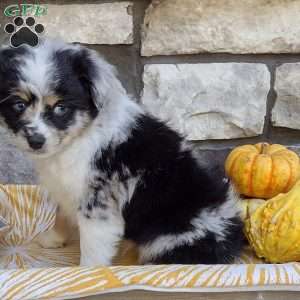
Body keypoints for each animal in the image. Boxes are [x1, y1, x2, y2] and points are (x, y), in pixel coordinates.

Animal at [0, 39, 244, 264]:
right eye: (19, 105)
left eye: (61, 107)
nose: (35, 141)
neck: (78, 139)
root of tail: (235, 236)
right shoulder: (67, 188)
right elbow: (60, 215)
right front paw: (52, 239)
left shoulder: (98, 202)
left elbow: (92, 247)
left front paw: (89, 271)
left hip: (171, 236)